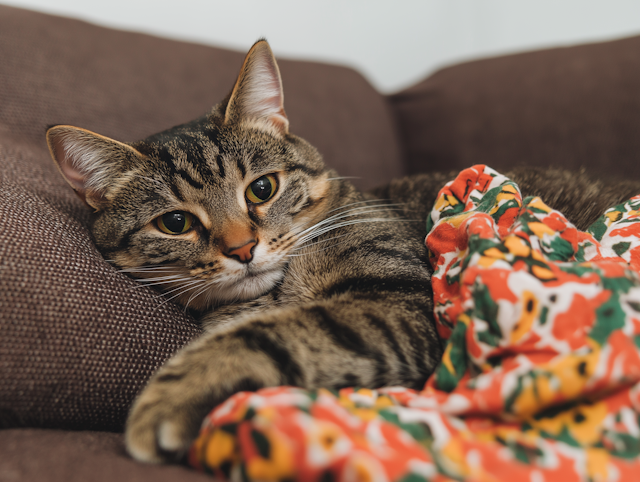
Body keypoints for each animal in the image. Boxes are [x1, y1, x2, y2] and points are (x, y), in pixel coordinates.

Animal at [47, 41, 640, 464]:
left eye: (261, 189)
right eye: (176, 223)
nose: (242, 249)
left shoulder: (398, 303)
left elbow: (278, 333)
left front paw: (169, 398)